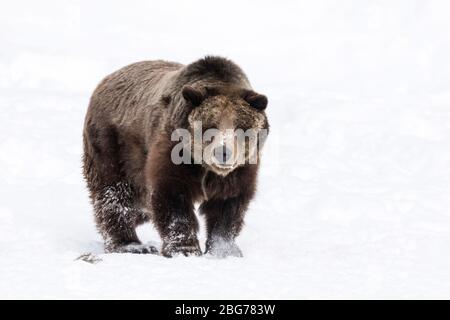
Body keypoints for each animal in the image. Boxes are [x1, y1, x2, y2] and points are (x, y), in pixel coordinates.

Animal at [82, 56, 268, 258]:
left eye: (240, 127)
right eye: (209, 126)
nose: (223, 152)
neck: (204, 167)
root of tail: (104, 81)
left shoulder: (240, 169)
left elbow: (228, 204)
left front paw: (224, 250)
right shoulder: (174, 152)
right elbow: (172, 196)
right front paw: (184, 249)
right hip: (114, 145)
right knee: (114, 193)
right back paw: (131, 244)